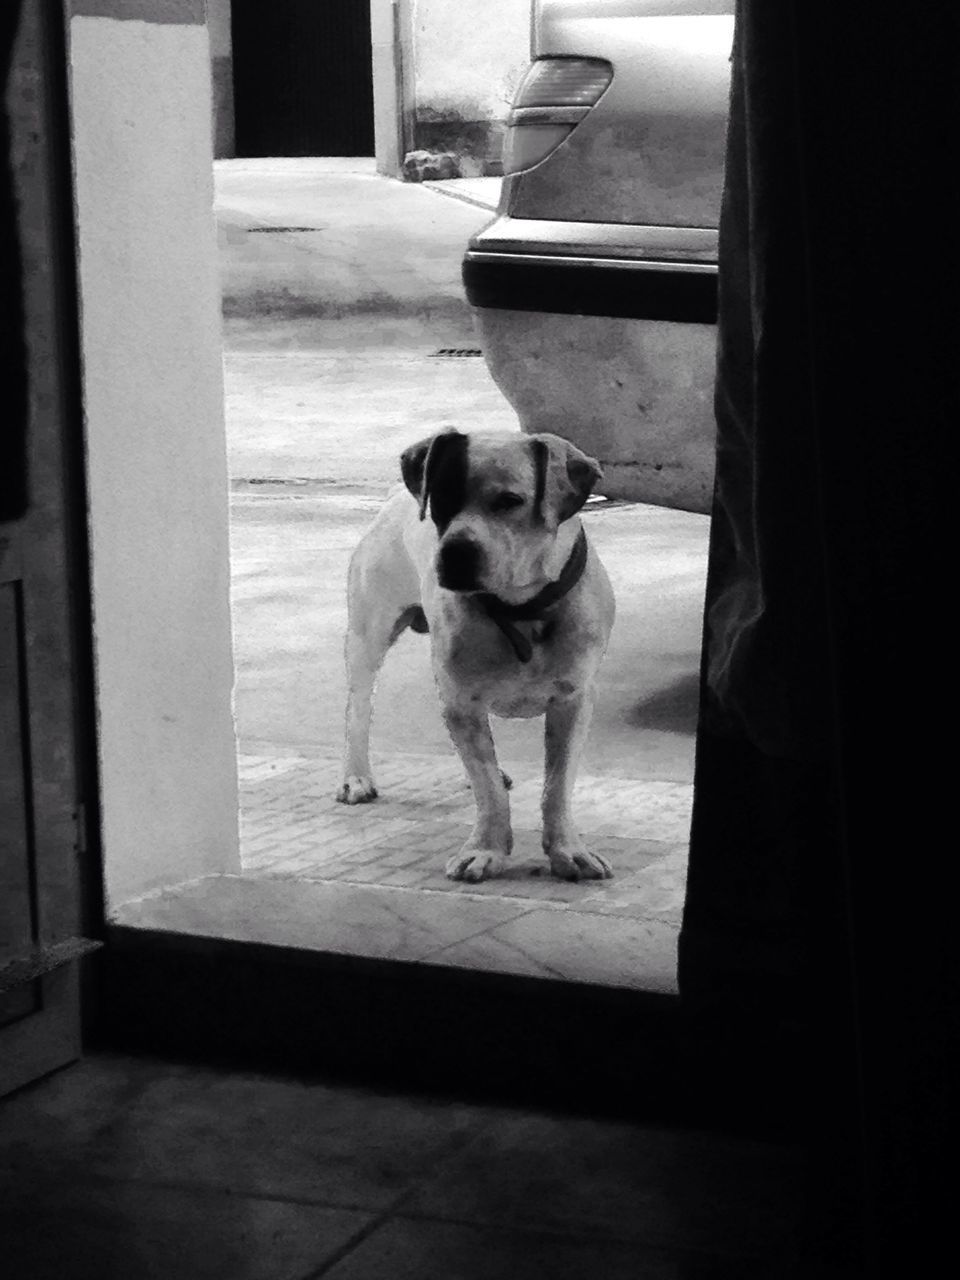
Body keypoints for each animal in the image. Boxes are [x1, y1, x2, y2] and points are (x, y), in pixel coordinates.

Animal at [337, 430, 616, 880]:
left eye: (509, 501)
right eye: (440, 500)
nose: (454, 552)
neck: (519, 609)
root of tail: (394, 495)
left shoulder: (574, 700)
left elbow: (556, 785)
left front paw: (567, 850)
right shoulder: (461, 701)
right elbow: (487, 788)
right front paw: (486, 849)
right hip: (368, 634)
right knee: (358, 707)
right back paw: (356, 776)